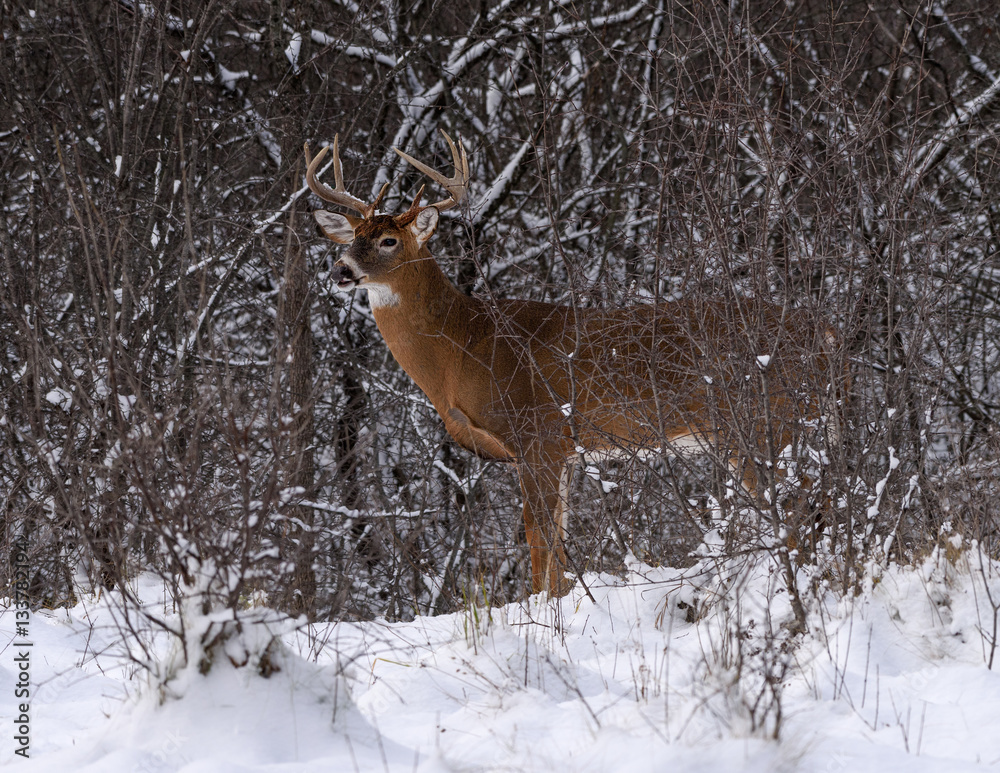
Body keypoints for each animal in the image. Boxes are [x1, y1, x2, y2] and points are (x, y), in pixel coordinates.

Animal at [305, 131, 841, 597]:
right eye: (351, 236)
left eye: (389, 241)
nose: (340, 270)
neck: (465, 347)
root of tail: (827, 335)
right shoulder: (561, 450)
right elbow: (556, 541)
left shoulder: (537, 434)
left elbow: (538, 539)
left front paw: (541, 611)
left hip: (762, 421)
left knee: (797, 508)